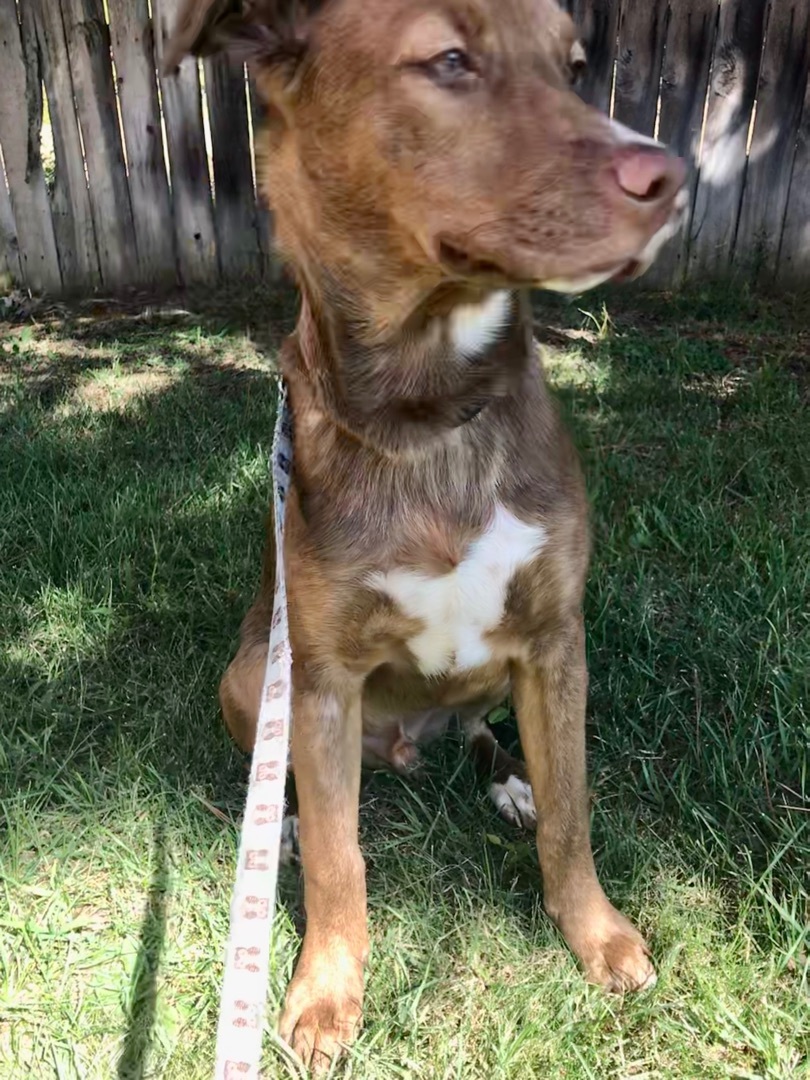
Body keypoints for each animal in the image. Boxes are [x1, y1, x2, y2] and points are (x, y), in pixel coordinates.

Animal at [166, 0, 687, 1070]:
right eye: (448, 59)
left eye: (577, 64)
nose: (672, 181)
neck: (430, 412)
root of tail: (404, 745)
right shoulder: (319, 678)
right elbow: (339, 861)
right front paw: (326, 995)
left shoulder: (558, 639)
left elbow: (574, 814)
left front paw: (597, 933)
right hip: (253, 673)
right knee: (295, 792)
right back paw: (285, 823)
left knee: (490, 734)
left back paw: (508, 778)